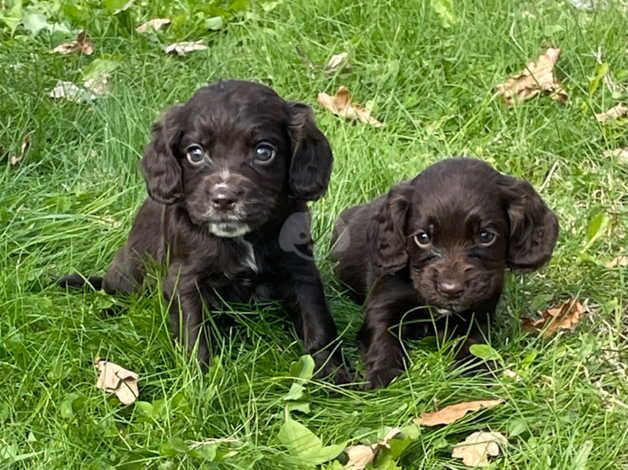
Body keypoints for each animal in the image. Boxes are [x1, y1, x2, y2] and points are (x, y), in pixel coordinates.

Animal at [332, 159, 556, 390]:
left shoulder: (478, 312)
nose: (451, 290)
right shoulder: (383, 302)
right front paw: (384, 375)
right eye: (422, 237)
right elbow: (383, 337)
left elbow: (473, 343)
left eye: (485, 236)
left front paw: (474, 373)